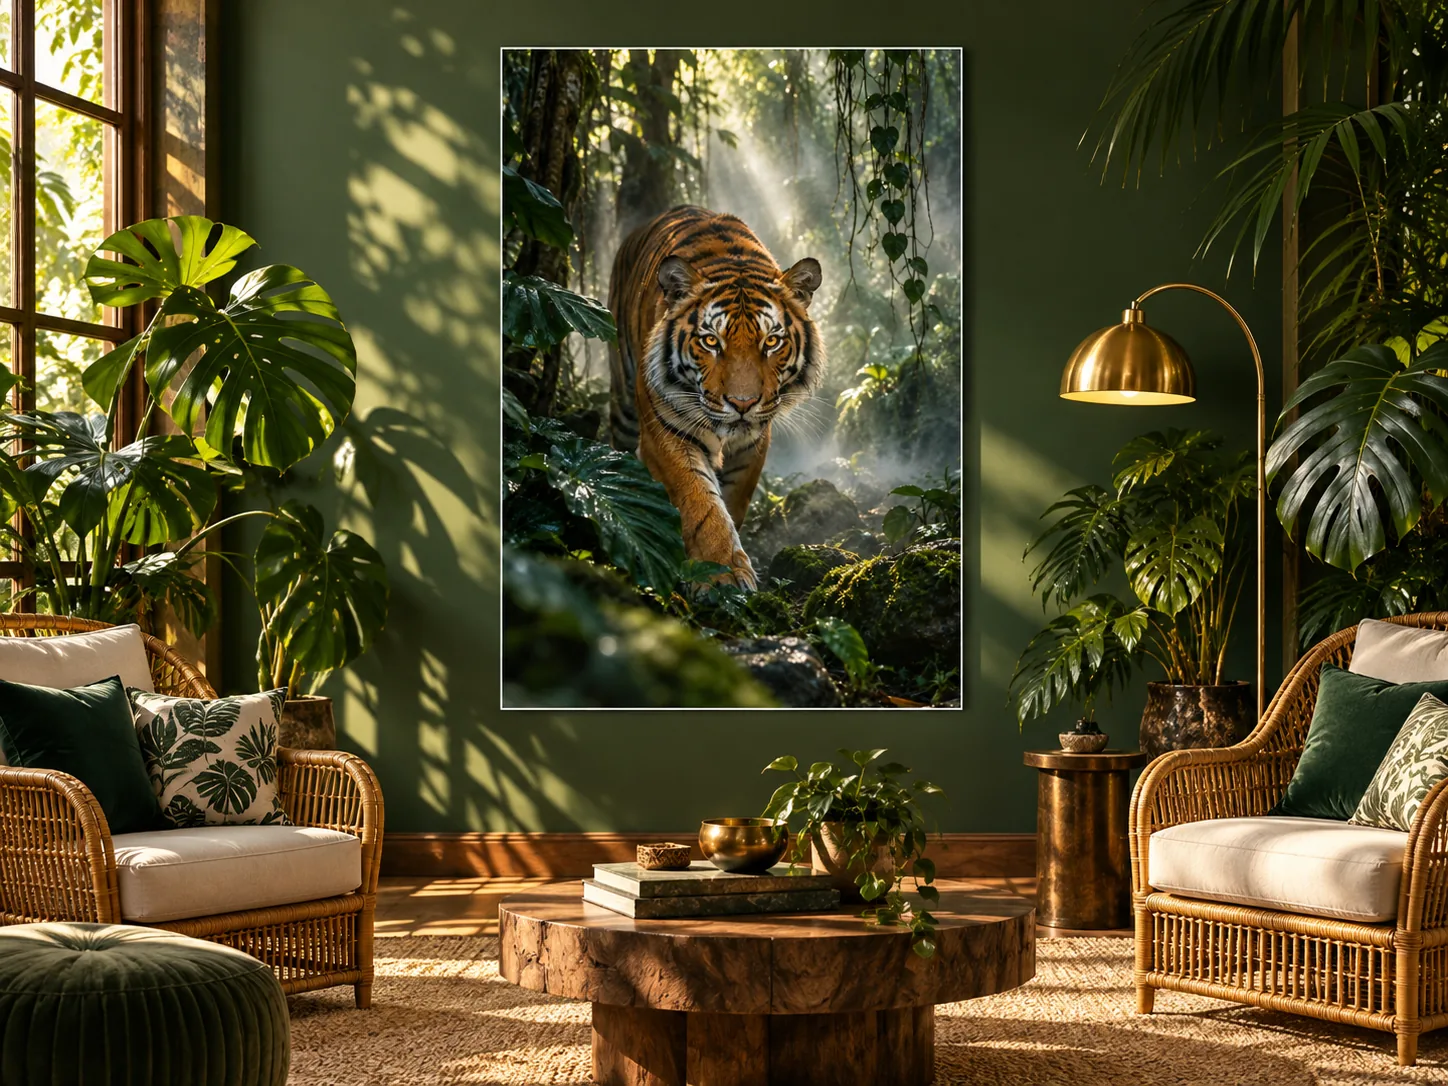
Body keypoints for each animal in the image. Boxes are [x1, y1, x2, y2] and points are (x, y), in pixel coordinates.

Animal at [608, 205, 825, 590]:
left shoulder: (753, 444)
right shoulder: (666, 433)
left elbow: (732, 502)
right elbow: (701, 502)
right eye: (711, 341)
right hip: (624, 407)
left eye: (771, 342)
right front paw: (720, 573)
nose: (742, 404)